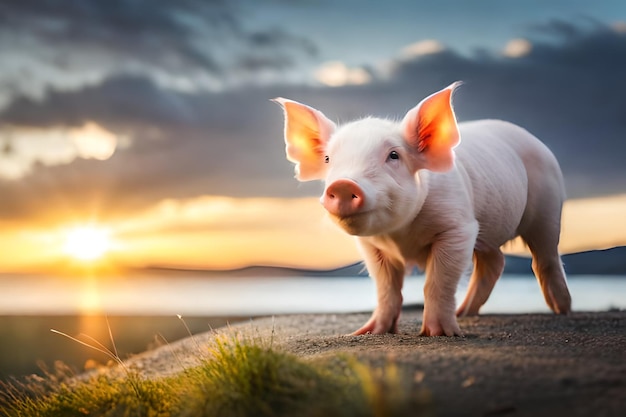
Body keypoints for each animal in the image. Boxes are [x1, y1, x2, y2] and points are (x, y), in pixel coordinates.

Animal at [272, 82, 572, 334]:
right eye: (328, 159)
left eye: (394, 155)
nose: (344, 183)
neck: (400, 236)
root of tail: (537, 142)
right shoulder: (371, 246)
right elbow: (386, 288)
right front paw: (368, 333)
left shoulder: (459, 228)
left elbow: (437, 282)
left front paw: (439, 334)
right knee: (494, 262)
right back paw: (465, 313)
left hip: (548, 208)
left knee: (544, 257)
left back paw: (562, 310)